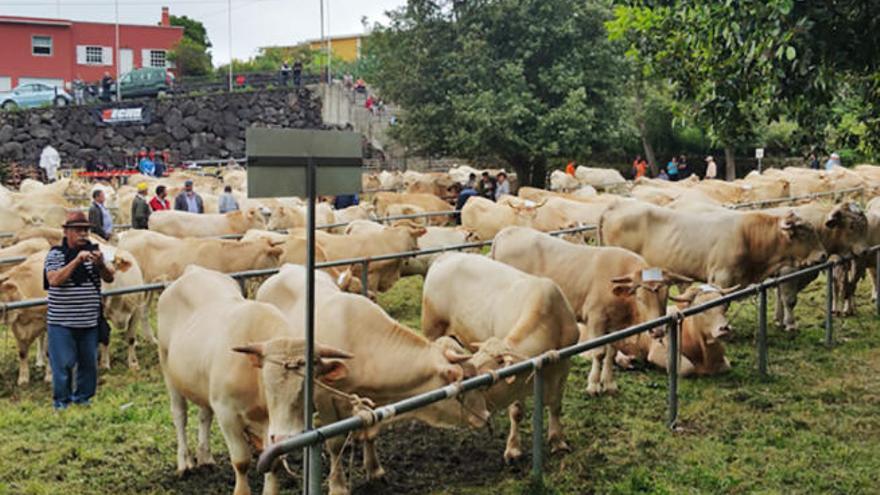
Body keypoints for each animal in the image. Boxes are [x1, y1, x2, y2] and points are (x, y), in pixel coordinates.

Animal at [158, 268, 354, 495]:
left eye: (309, 384)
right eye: (267, 382)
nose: (285, 437)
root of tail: (192, 270)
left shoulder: (269, 424)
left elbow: (273, 461)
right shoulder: (226, 413)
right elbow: (241, 461)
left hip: (202, 383)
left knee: (204, 415)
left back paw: (205, 457)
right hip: (168, 370)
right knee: (180, 415)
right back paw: (184, 463)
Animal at [256, 268, 488, 495]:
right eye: (467, 378)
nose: (486, 415)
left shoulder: (370, 398)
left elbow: (371, 431)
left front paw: (375, 470)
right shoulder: (324, 398)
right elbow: (335, 443)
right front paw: (338, 486)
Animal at [422, 254, 580, 466]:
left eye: (483, 385)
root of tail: (447, 255)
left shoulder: (564, 365)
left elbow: (556, 405)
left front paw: (558, 442)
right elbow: (517, 412)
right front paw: (513, 449)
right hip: (432, 327)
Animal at [492, 228, 692, 396]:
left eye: (665, 297)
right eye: (640, 298)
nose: (657, 331)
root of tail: (507, 232)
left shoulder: (617, 325)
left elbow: (612, 351)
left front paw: (609, 383)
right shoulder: (596, 318)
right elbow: (599, 353)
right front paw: (594, 385)